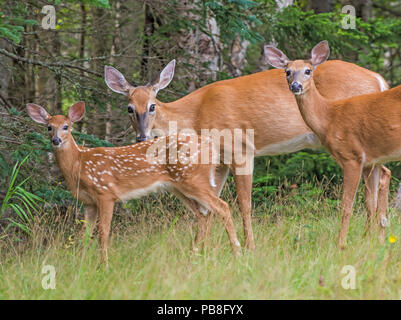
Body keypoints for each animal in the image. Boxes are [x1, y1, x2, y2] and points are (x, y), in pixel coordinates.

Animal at [27, 101, 241, 264]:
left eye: (66, 126)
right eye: (49, 127)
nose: (55, 140)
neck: (79, 164)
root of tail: (212, 149)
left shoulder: (105, 193)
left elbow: (103, 232)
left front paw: (103, 265)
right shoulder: (88, 202)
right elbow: (85, 234)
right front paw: (80, 262)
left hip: (193, 180)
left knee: (222, 207)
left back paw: (236, 251)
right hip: (179, 187)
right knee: (203, 215)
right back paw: (193, 255)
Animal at [104, 56, 390, 251]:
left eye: (152, 106)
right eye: (129, 108)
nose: (141, 137)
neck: (195, 115)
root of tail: (379, 79)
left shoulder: (240, 148)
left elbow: (243, 203)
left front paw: (248, 246)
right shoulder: (218, 159)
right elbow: (208, 206)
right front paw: (199, 249)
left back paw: (370, 235)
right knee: (383, 174)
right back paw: (375, 234)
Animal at [264, 40, 396, 248]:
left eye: (308, 70)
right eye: (287, 71)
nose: (295, 86)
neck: (329, 117)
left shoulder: (352, 157)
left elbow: (346, 206)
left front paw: (341, 244)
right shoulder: (367, 159)